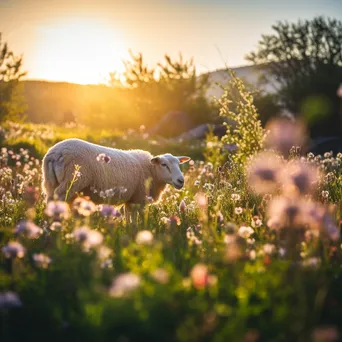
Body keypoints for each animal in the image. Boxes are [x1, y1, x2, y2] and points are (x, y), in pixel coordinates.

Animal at [41, 138, 191, 222]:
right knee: (58, 199)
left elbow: (128, 217)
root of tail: (54, 153)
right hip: (71, 182)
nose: (181, 181)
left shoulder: (130, 199)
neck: (151, 171)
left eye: (179, 164)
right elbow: (135, 219)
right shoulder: (138, 198)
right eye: (164, 164)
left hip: (51, 182)